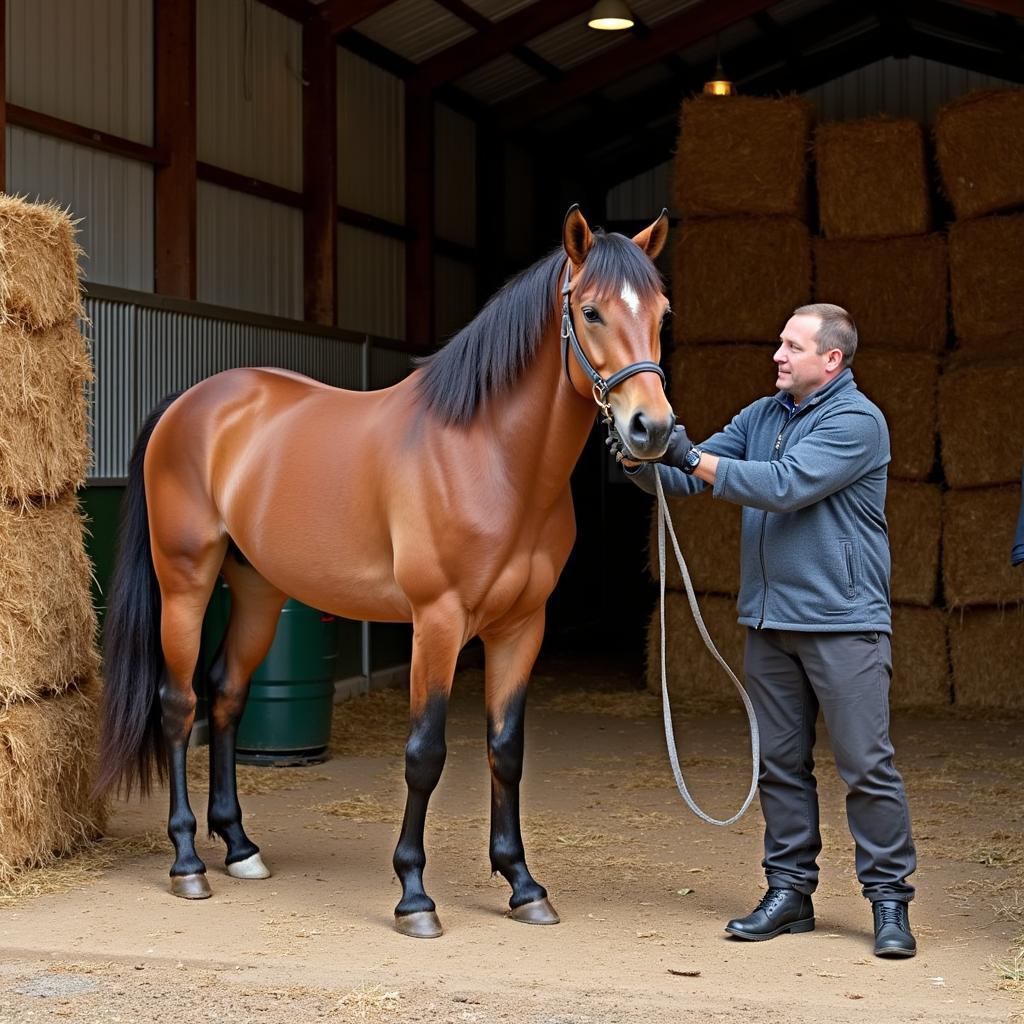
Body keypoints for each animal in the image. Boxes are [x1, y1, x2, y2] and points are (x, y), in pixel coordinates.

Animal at [94, 205, 671, 937]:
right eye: (591, 312)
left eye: (661, 312)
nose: (651, 429)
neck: (489, 455)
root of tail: (187, 404)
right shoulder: (438, 621)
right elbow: (425, 754)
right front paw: (415, 895)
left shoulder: (521, 628)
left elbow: (506, 750)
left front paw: (522, 885)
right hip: (185, 585)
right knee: (179, 706)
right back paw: (188, 863)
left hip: (257, 590)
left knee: (226, 694)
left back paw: (241, 847)